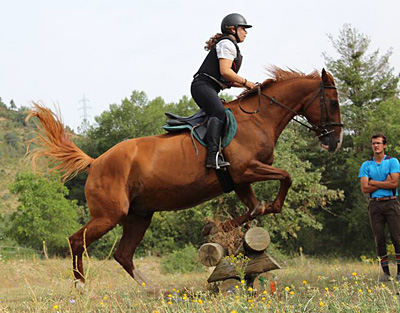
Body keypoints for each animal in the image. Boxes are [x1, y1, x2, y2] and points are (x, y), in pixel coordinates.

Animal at [26, 66, 342, 292]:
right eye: (333, 101)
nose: (335, 142)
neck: (258, 118)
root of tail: (96, 161)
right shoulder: (246, 170)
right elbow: (284, 180)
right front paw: (215, 228)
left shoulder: (240, 181)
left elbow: (258, 207)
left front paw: (215, 228)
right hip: (109, 215)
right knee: (76, 241)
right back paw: (80, 285)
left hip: (139, 216)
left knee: (123, 254)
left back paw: (151, 289)